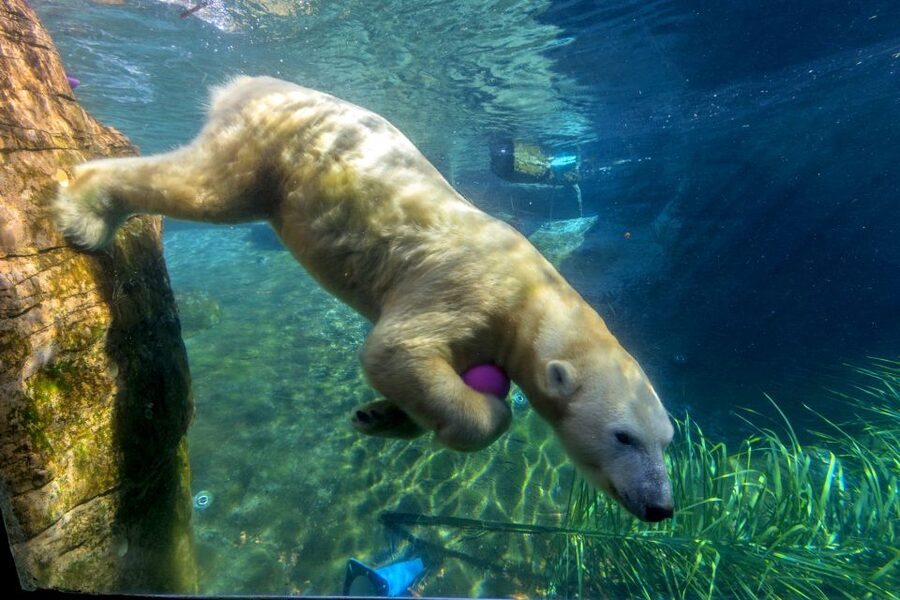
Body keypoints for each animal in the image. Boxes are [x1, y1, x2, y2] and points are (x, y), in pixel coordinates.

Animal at [53, 76, 674, 522]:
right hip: (272, 150)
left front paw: (380, 415)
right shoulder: (467, 291)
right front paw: (478, 413)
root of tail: (248, 82)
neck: (533, 294)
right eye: (623, 436)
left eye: (666, 439)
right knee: (203, 188)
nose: (660, 507)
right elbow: (395, 350)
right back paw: (84, 208)